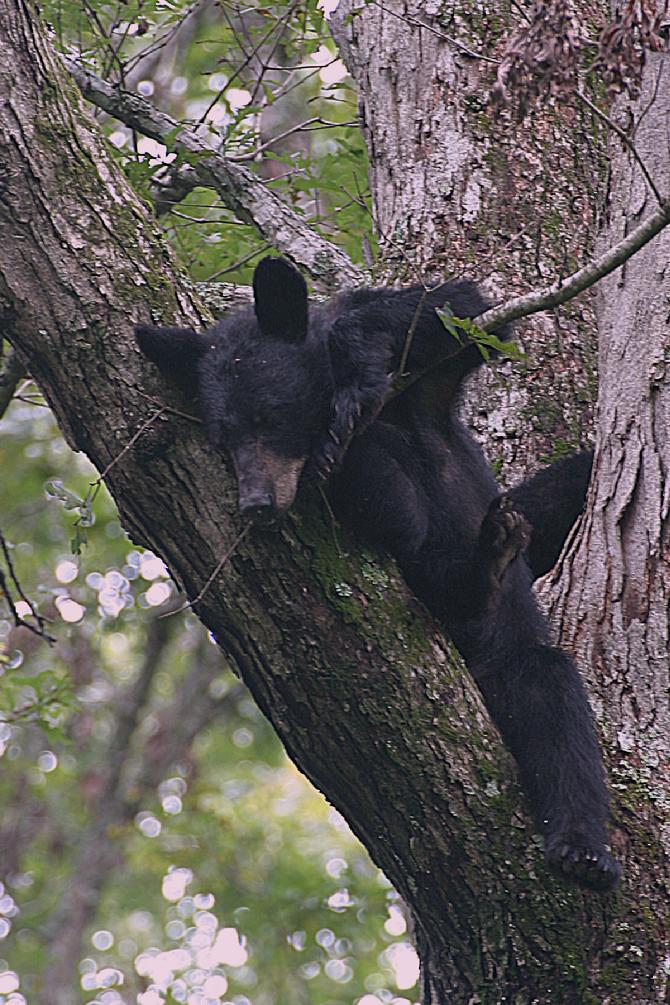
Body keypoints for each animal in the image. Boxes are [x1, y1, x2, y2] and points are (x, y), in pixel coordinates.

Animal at [137, 255, 622, 892]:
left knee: (551, 693)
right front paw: (342, 448)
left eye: (269, 416)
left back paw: (583, 848)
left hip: (510, 649)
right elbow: (398, 513)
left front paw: (355, 381)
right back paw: (481, 564)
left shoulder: (427, 383)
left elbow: (461, 312)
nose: (256, 503)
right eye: (223, 438)